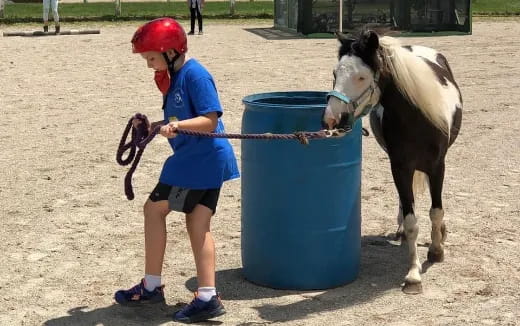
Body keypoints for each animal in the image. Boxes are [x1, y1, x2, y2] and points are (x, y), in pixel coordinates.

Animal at [322, 30, 462, 294]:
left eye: (361, 76)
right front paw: (413, 275)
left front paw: (436, 250)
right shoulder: (400, 166)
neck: (417, 118)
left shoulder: (438, 166)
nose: (331, 119)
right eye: (335, 74)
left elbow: (436, 211)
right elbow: (411, 220)